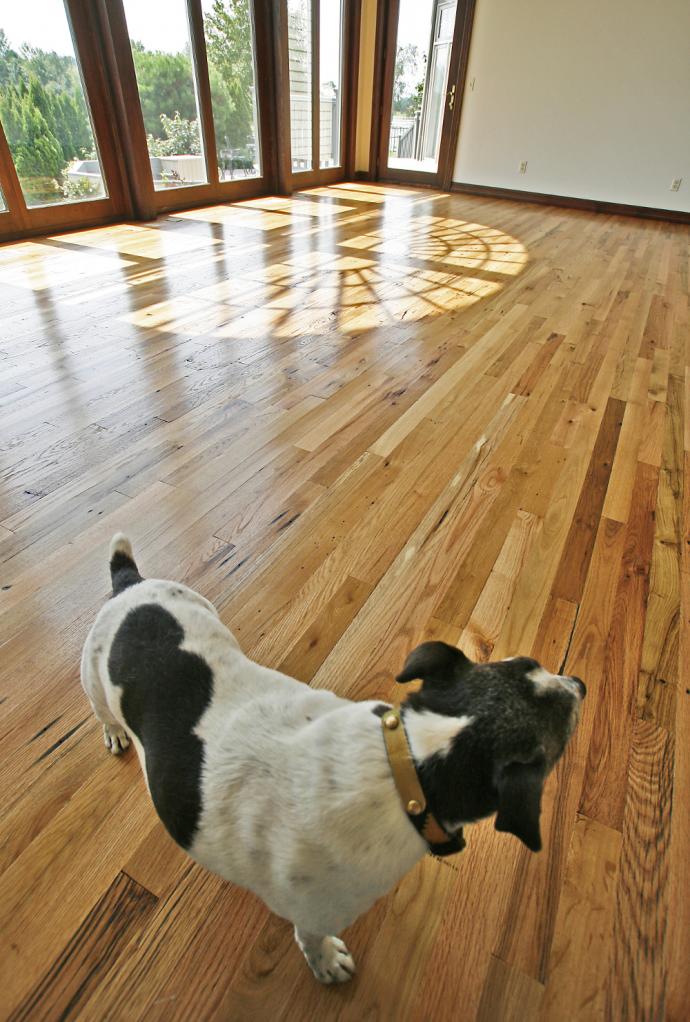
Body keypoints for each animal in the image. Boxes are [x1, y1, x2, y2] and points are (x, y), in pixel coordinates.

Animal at [83, 535, 584, 981]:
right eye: (566, 732)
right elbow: (312, 939)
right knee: (104, 711)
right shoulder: (315, 913)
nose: (580, 682)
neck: (407, 765)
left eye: (530, 664)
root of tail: (128, 581)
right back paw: (114, 732)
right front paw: (326, 963)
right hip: (94, 681)